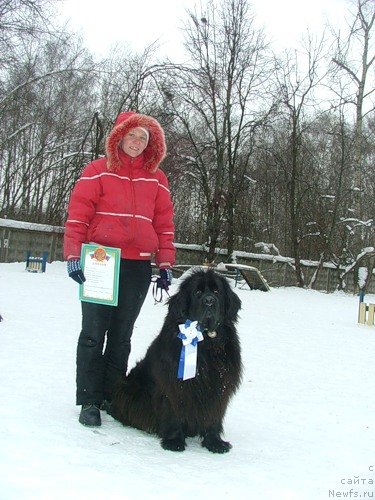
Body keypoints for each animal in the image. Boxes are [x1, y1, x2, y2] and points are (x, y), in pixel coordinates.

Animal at [110, 270, 242, 454]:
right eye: (198, 292)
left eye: (217, 292)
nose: (209, 301)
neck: (206, 343)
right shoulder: (173, 384)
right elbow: (173, 409)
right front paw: (174, 441)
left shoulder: (219, 385)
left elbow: (214, 414)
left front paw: (215, 442)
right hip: (128, 388)